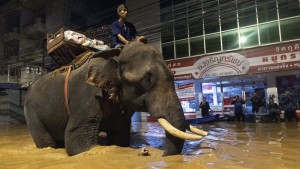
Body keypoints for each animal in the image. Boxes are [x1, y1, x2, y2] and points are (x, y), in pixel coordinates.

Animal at [23, 41, 207, 156]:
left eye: (173, 77)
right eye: (147, 79)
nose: (161, 155)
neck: (116, 55)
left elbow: (120, 137)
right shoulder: (87, 96)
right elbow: (77, 140)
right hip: (31, 112)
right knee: (46, 141)